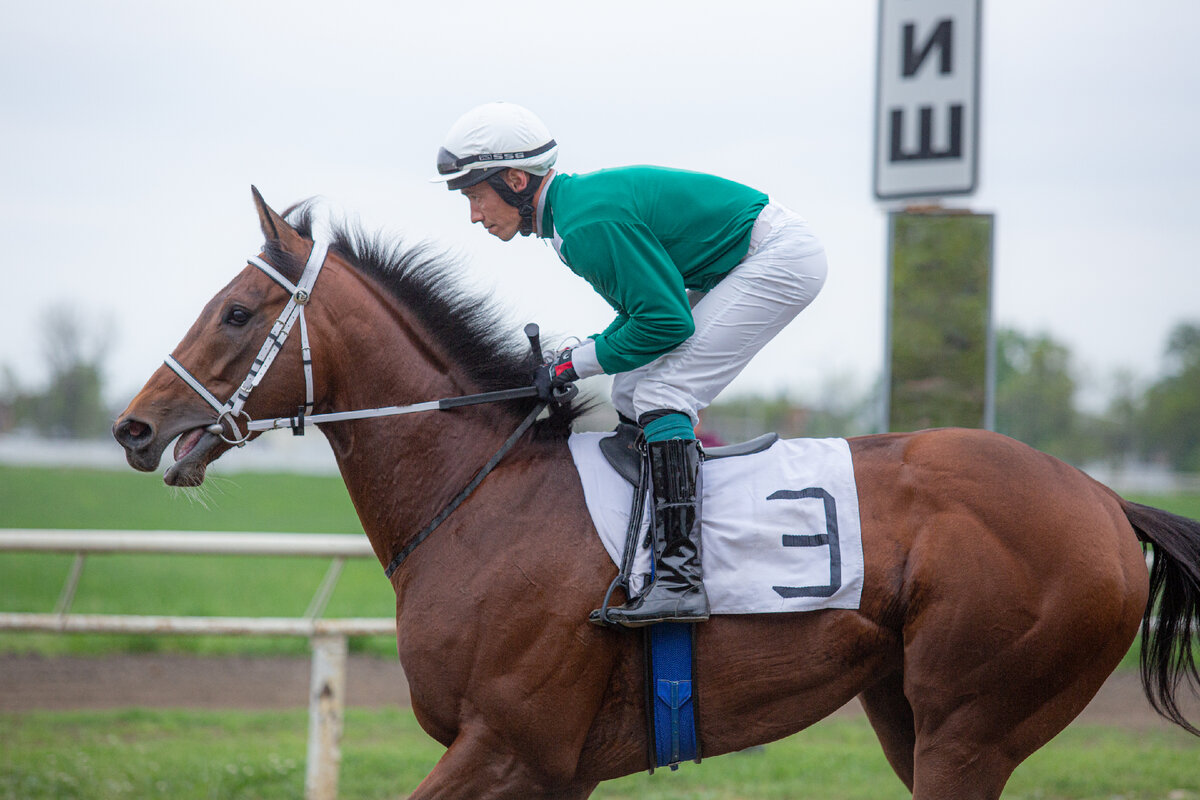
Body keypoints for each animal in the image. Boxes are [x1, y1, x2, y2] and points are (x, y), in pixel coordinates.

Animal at [114, 190, 1200, 796]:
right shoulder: (554, 771)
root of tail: (1105, 499)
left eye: (236, 311)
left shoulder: (509, 746)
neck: (479, 497)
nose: (134, 427)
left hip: (971, 722)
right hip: (908, 714)